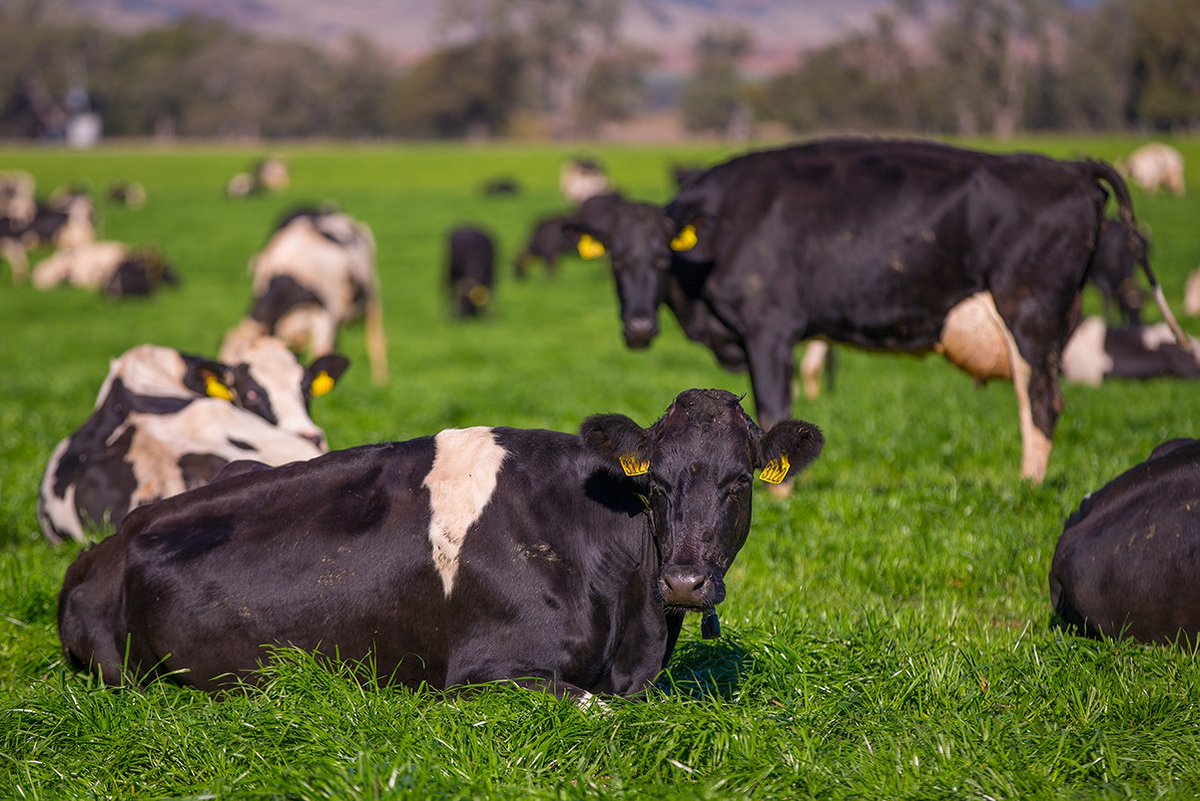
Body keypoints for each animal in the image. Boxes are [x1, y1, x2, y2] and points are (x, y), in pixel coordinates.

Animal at [564, 138, 1191, 483]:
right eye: (615, 260)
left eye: (662, 256)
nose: (639, 327)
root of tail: (1069, 168)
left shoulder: (770, 329)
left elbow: (773, 410)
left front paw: (781, 491)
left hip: (1030, 311)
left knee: (1040, 402)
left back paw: (1027, 484)